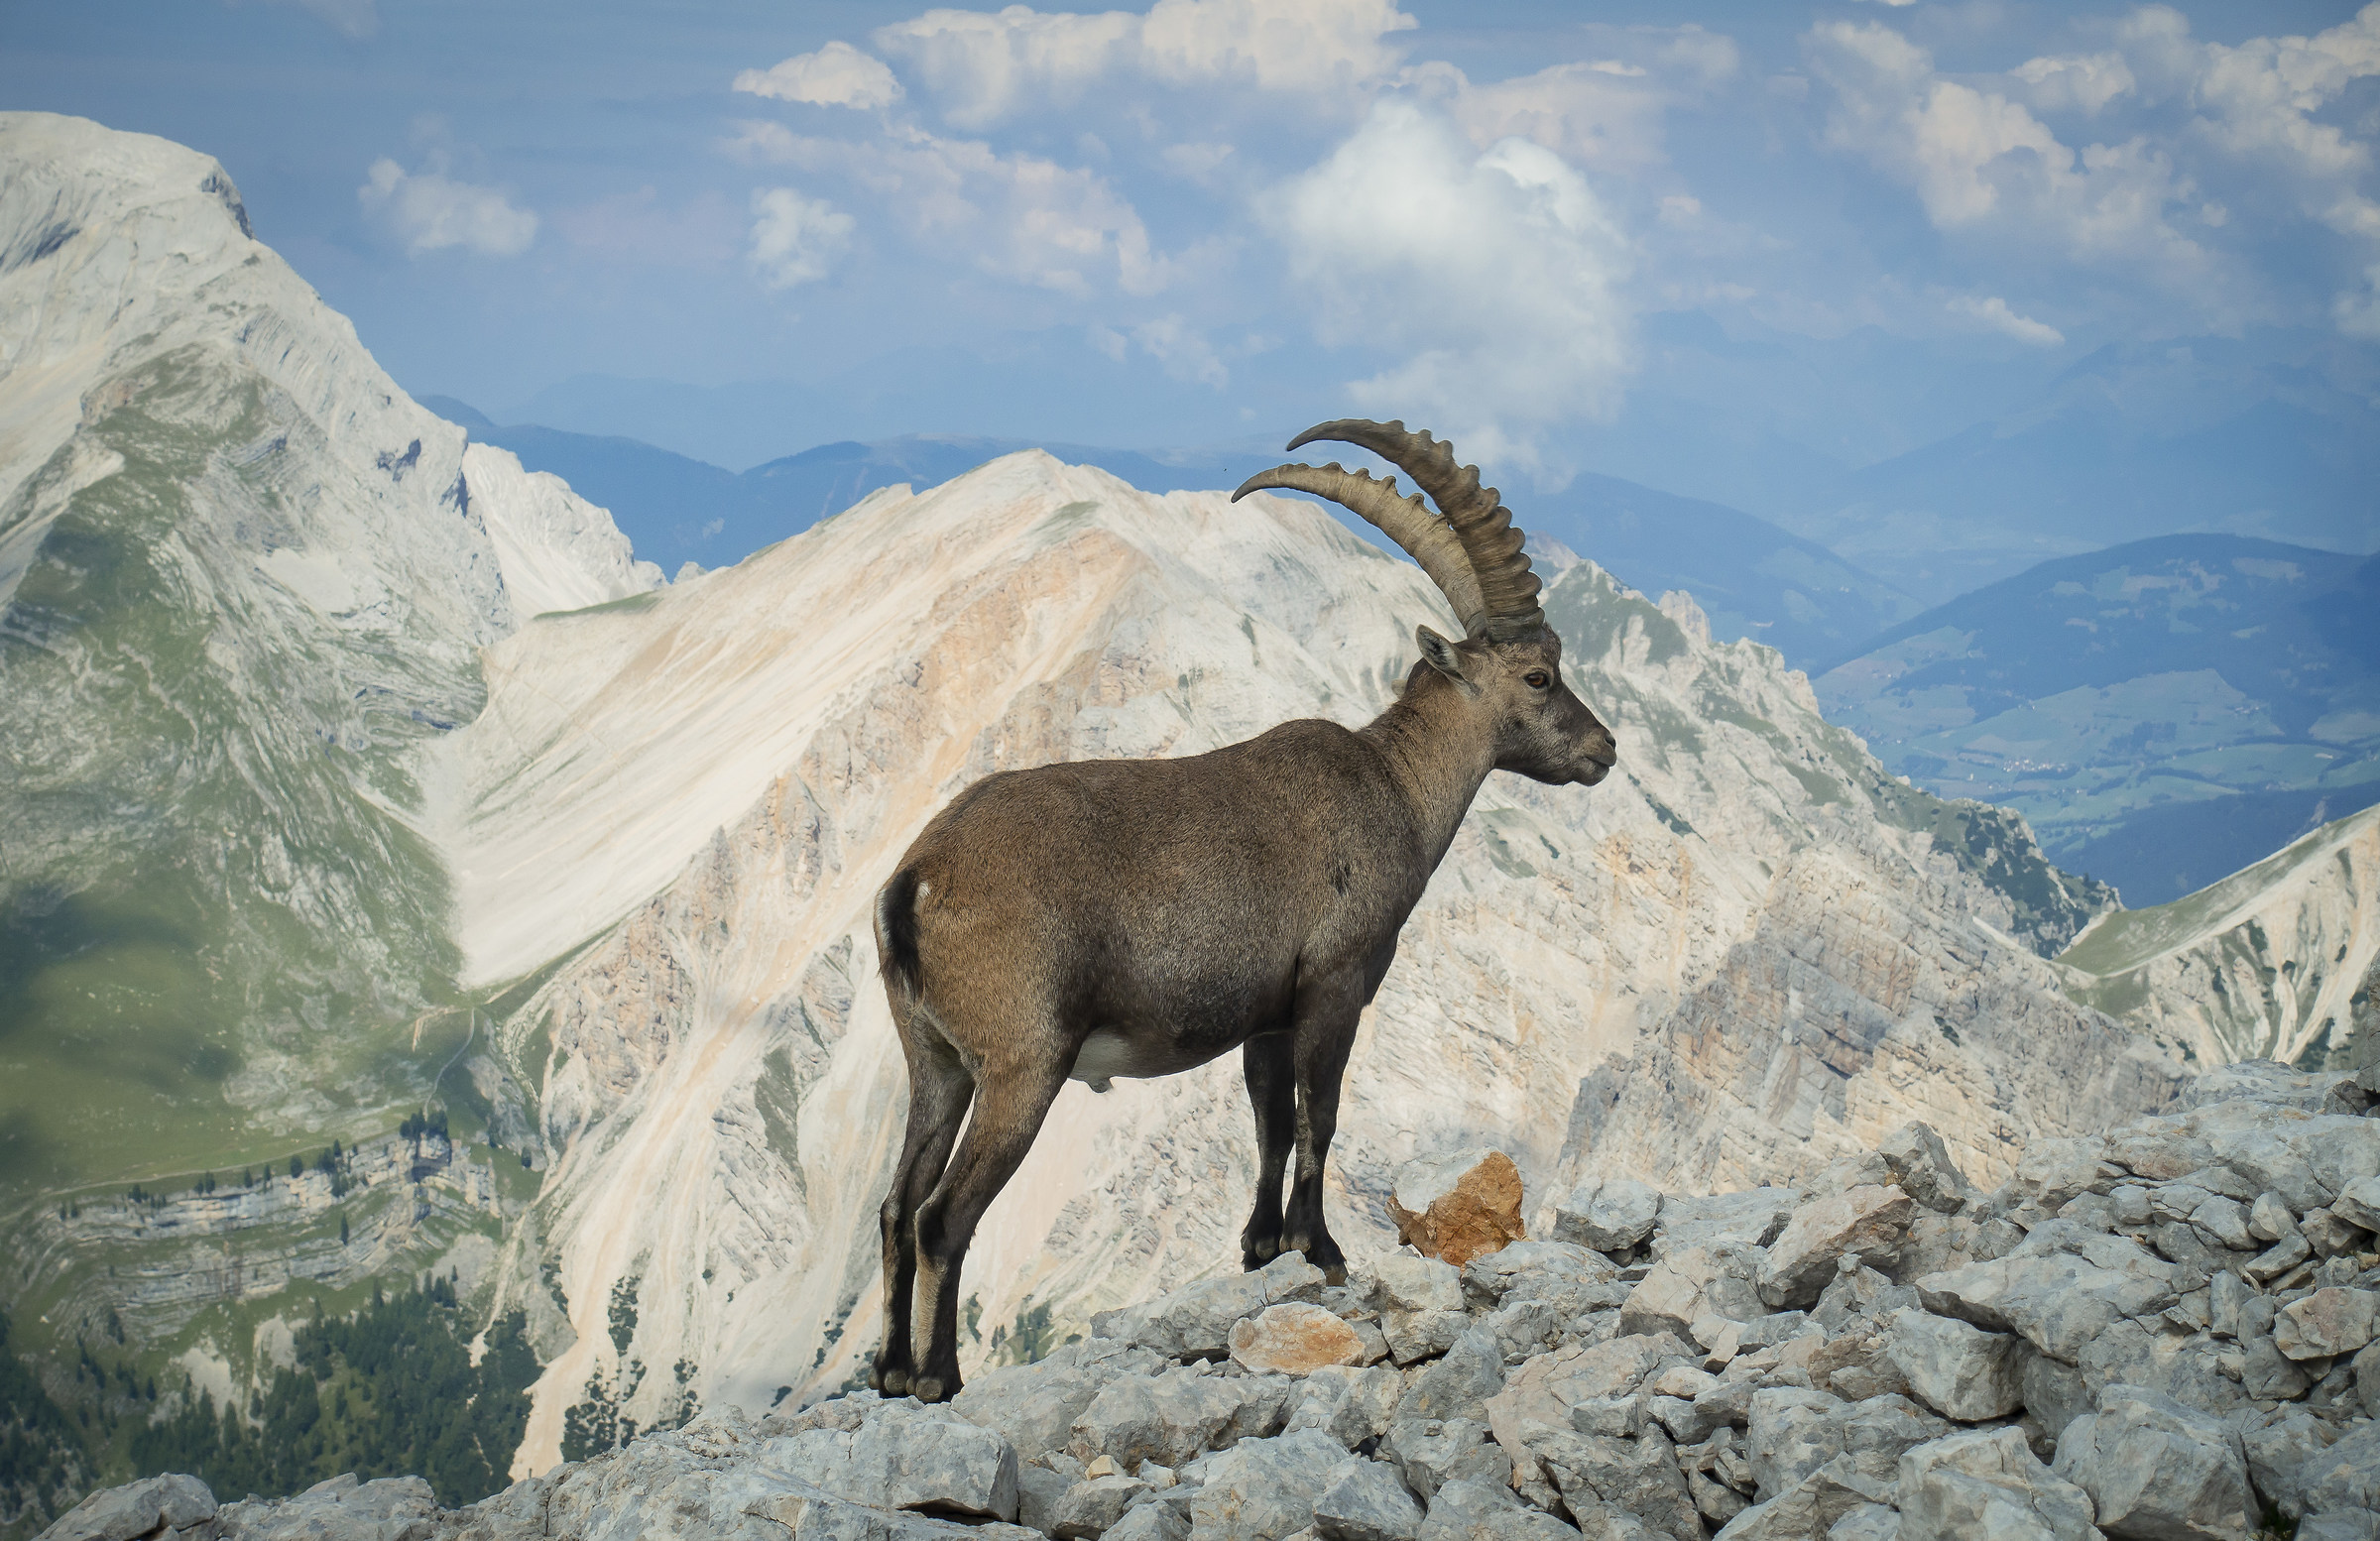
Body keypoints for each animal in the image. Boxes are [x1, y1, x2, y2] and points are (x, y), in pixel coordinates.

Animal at [869, 419, 1618, 1403]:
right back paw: (938, 1378)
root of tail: (915, 880)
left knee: (894, 1205)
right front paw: (1323, 1249)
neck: (1394, 789)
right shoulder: (1335, 985)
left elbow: (1268, 1120)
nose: (1605, 749)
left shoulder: (1267, 1013)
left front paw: (1263, 1248)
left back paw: (886, 1370)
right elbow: (1318, 1115)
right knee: (942, 1217)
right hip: (1022, 1064)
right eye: (1538, 676)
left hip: (936, 1061)